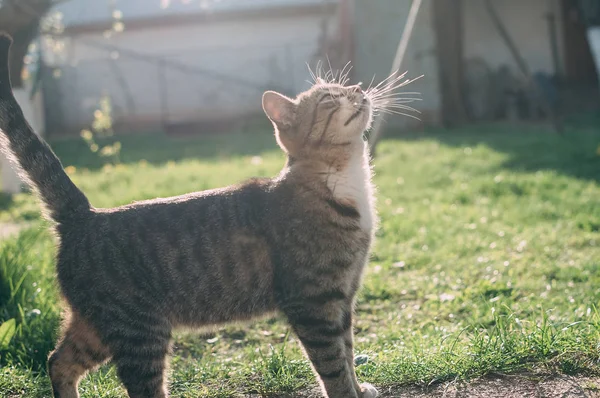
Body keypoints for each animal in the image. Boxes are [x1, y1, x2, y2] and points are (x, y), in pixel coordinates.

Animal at [0, 35, 380, 398]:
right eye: (330, 98)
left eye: (346, 88)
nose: (359, 88)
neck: (345, 182)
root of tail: (84, 216)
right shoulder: (314, 304)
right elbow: (333, 364)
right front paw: (348, 393)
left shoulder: (344, 297)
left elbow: (348, 351)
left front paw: (360, 387)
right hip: (138, 332)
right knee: (139, 387)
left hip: (97, 327)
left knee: (58, 360)